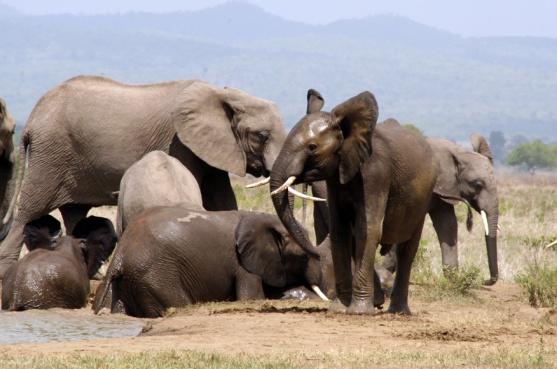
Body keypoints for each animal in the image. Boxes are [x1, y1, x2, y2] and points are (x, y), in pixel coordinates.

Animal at [0, 75, 286, 276]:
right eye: (261, 136)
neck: (224, 93)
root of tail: (32, 121)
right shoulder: (180, 142)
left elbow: (222, 199)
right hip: (50, 156)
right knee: (31, 209)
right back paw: (7, 269)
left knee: (74, 211)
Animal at [268, 88, 436, 314]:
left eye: (312, 147)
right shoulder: (335, 177)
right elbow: (340, 230)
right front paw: (339, 309)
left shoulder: (375, 175)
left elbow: (369, 229)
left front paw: (359, 312)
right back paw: (378, 303)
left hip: (424, 199)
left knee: (407, 250)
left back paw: (397, 312)